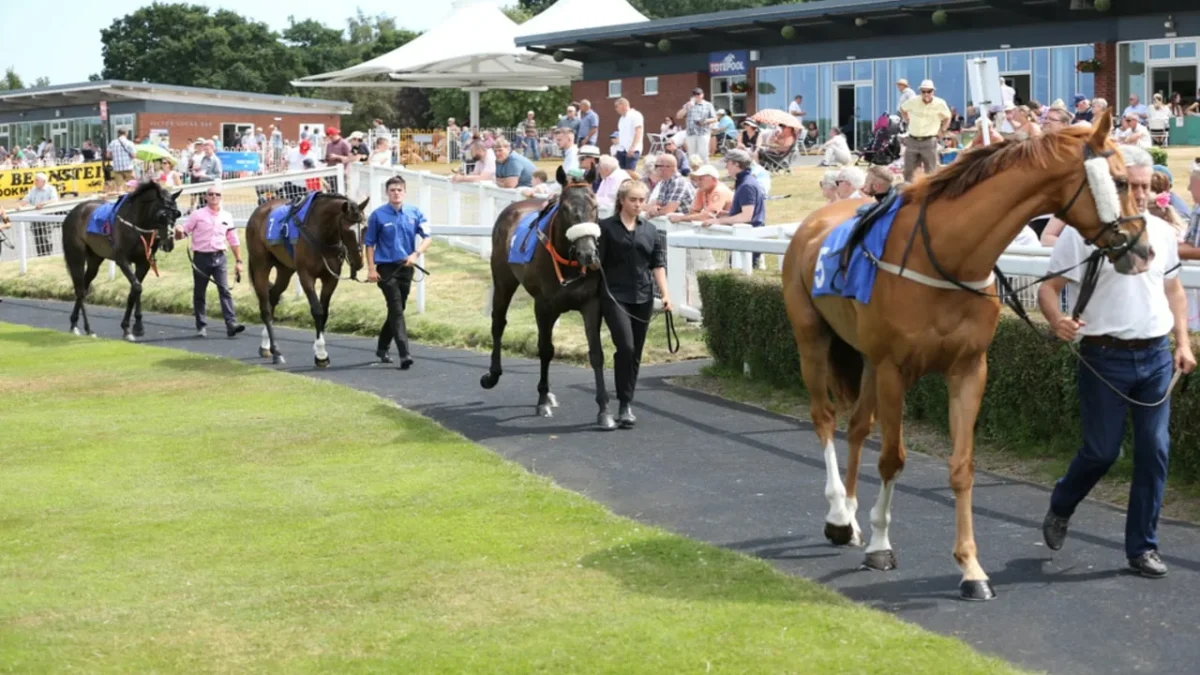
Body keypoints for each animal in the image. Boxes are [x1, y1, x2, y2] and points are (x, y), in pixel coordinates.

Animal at [62, 182, 182, 340]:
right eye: (162, 215)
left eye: (176, 214)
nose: (169, 243)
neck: (136, 224)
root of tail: (73, 212)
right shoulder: (123, 260)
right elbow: (137, 287)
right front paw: (128, 328)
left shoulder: (144, 262)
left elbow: (135, 290)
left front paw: (136, 327)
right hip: (76, 256)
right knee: (80, 290)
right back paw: (88, 328)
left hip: (94, 259)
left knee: (84, 286)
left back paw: (74, 323)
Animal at [243, 192, 367, 367]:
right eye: (346, 229)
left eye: (365, 227)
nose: (359, 262)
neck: (320, 233)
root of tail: (259, 211)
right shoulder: (306, 276)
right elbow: (317, 310)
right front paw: (321, 354)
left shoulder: (330, 278)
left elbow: (325, 311)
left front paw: (319, 350)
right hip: (261, 266)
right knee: (265, 307)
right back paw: (276, 351)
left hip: (284, 269)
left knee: (273, 297)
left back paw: (266, 345)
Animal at [480, 174, 615, 430]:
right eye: (565, 208)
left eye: (594, 206)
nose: (588, 254)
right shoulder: (544, 306)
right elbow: (545, 350)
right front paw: (542, 400)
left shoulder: (591, 304)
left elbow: (596, 354)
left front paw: (604, 410)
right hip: (503, 281)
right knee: (498, 323)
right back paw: (492, 375)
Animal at [780, 109, 1149, 601]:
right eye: (1122, 180)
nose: (1143, 250)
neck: (946, 256)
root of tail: (814, 222)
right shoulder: (895, 369)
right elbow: (892, 457)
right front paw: (880, 546)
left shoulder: (969, 368)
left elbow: (961, 467)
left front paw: (971, 569)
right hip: (813, 339)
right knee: (824, 418)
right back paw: (840, 515)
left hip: (866, 357)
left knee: (858, 425)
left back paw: (853, 516)